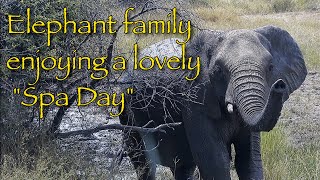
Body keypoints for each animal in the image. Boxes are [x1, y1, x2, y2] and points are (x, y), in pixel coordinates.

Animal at [119, 25, 308, 180]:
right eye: (218, 71)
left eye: (270, 67)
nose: (280, 85)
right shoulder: (195, 100)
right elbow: (215, 161)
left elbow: (249, 159)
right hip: (126, 107)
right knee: (142, 161)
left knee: (182, 166)